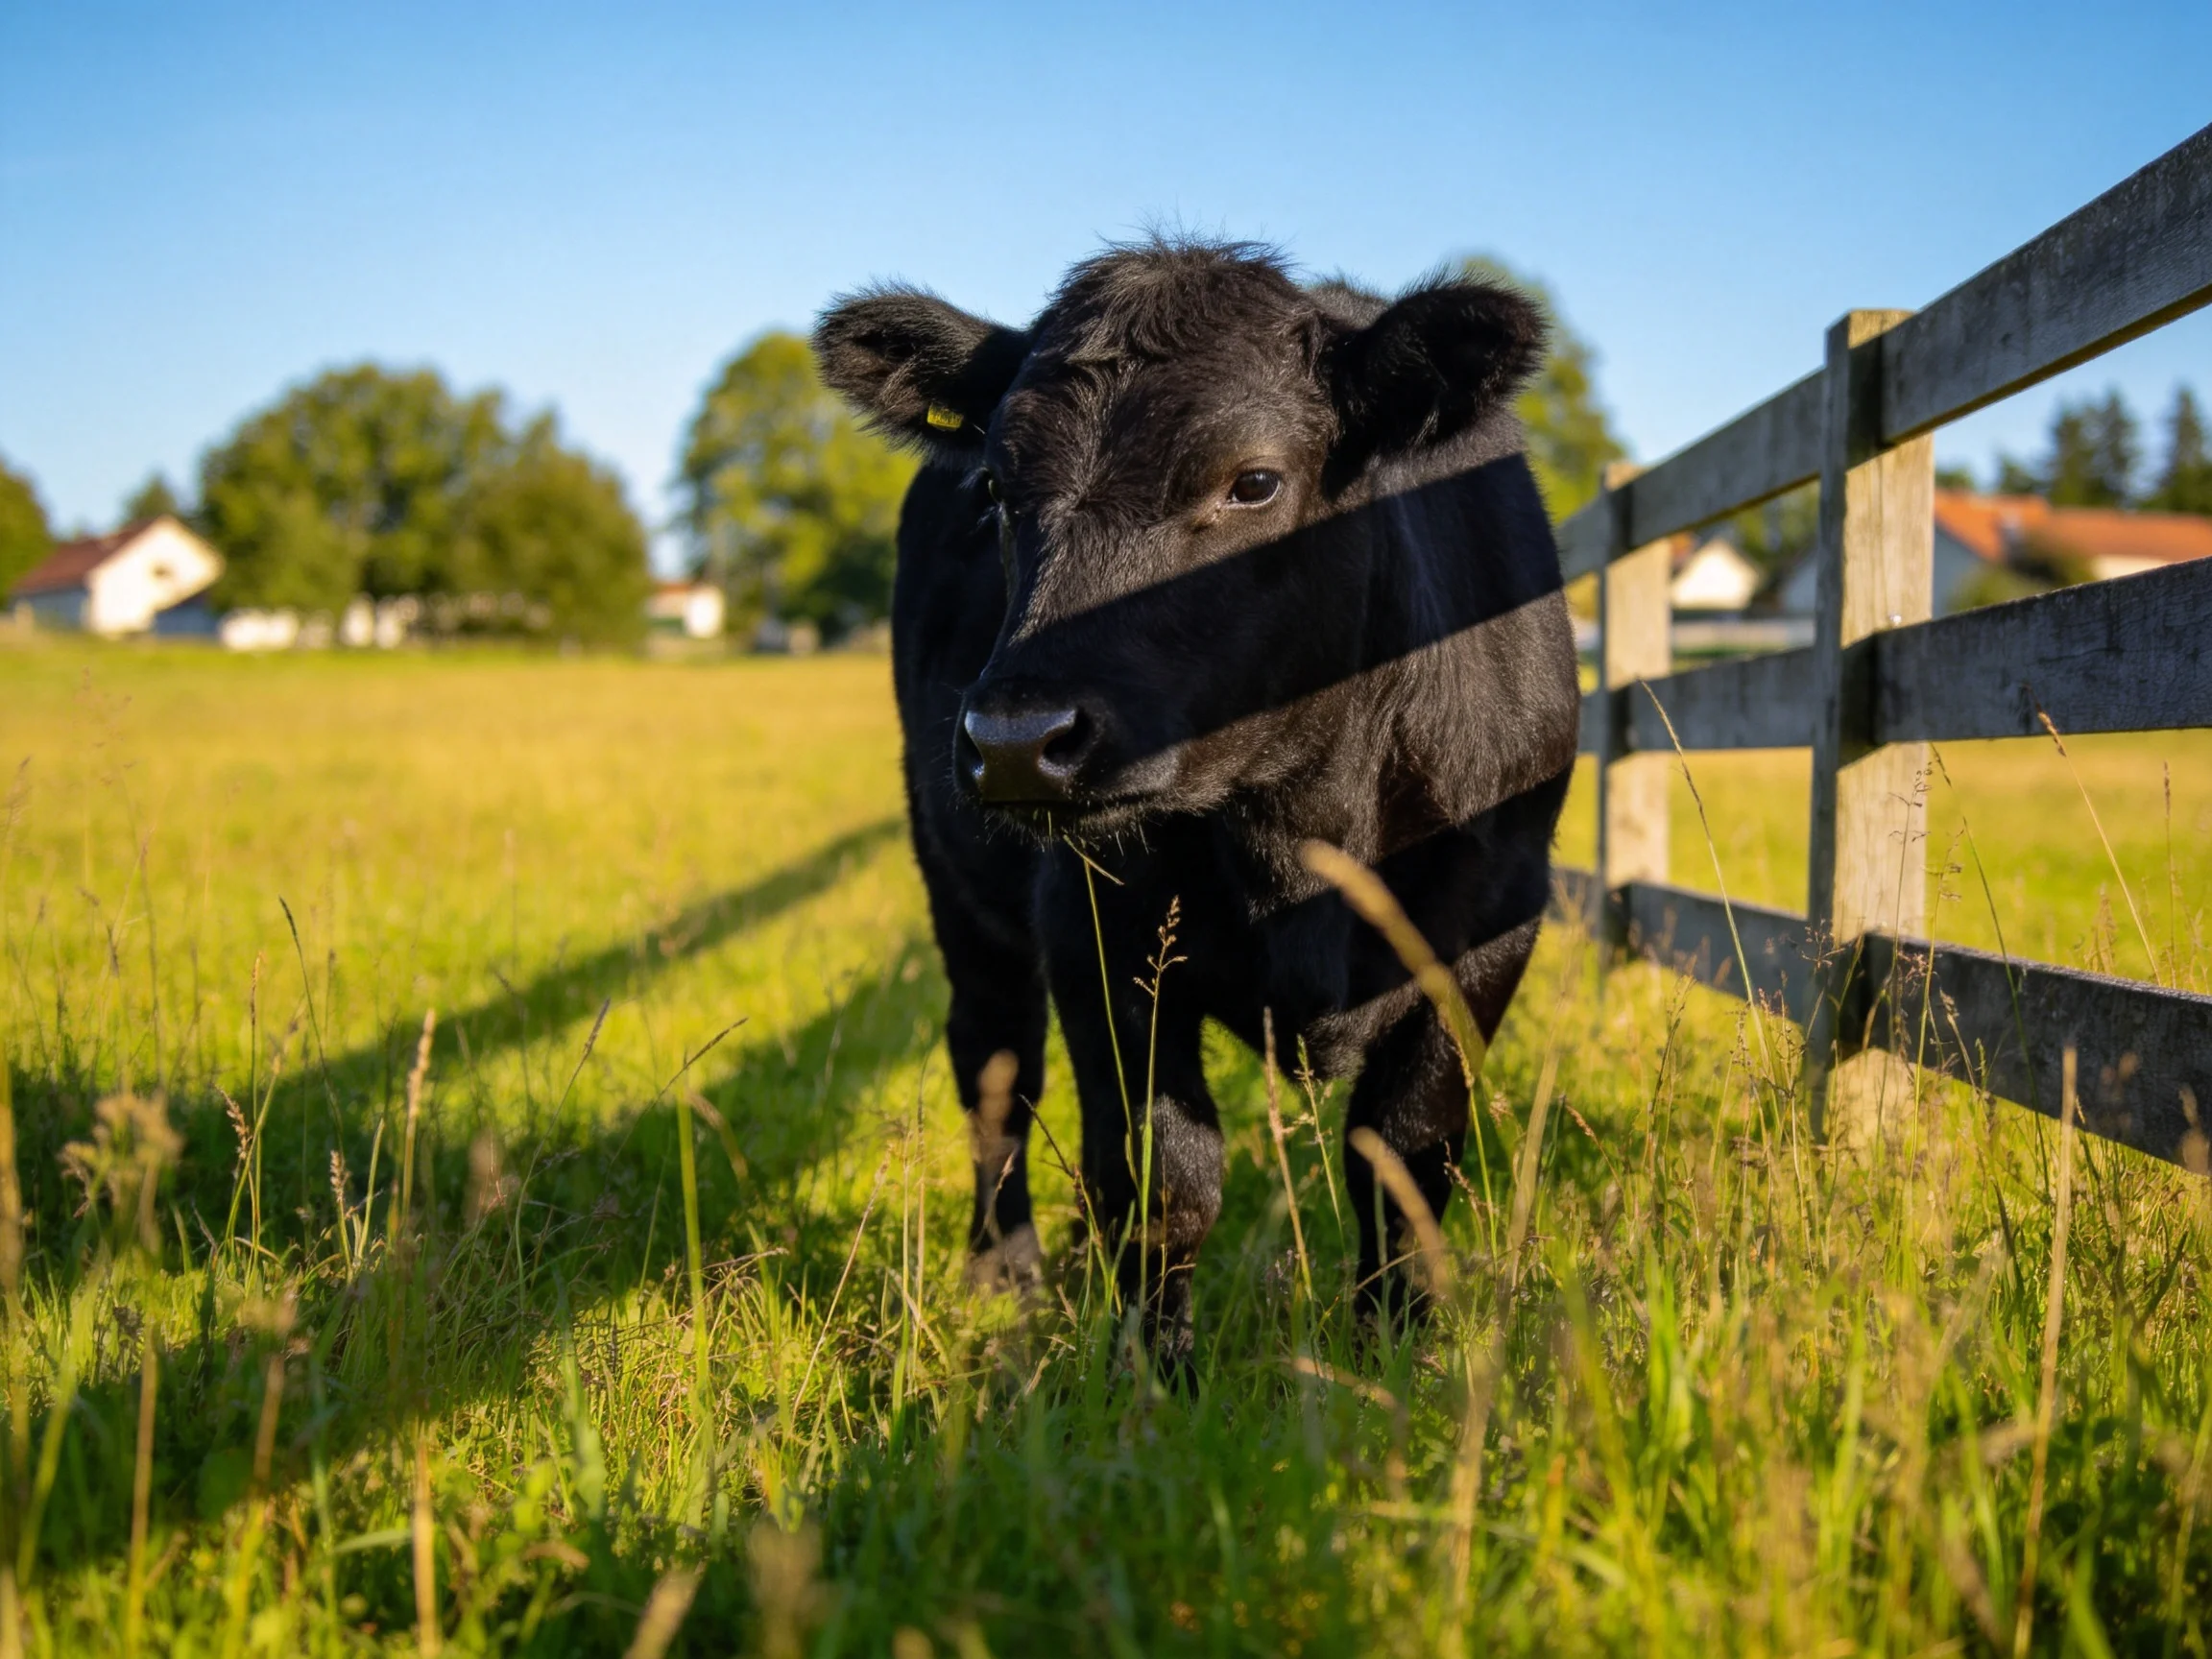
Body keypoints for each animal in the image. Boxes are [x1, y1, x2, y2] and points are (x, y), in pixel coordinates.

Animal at [812, 241, 1579, 1370]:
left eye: (1253, 481)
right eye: (994, 486)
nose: (1015, 739)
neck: (1301, 823)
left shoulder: (1489, 927)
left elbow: (1404, 1161)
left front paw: (1395, 1362)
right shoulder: (1096, 928)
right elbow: (1166, 1180)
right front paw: (1150, 1371)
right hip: (962, 889)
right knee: (996, 1065)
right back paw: (1009, 1272)